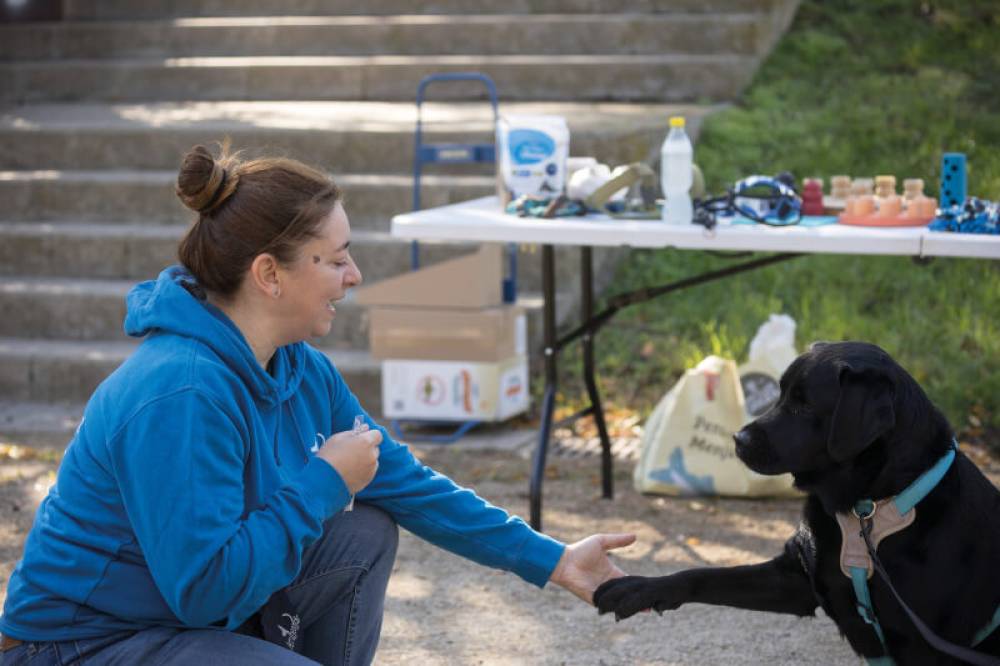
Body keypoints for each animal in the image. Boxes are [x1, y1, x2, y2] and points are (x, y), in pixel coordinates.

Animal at [592, 340, 1000, 660]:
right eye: (781, 394)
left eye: (804, 407)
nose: (738, 439)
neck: (864, 509)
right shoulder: (798, 580)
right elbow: (703, 574)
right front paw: (639, 588)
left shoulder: (921, 645)